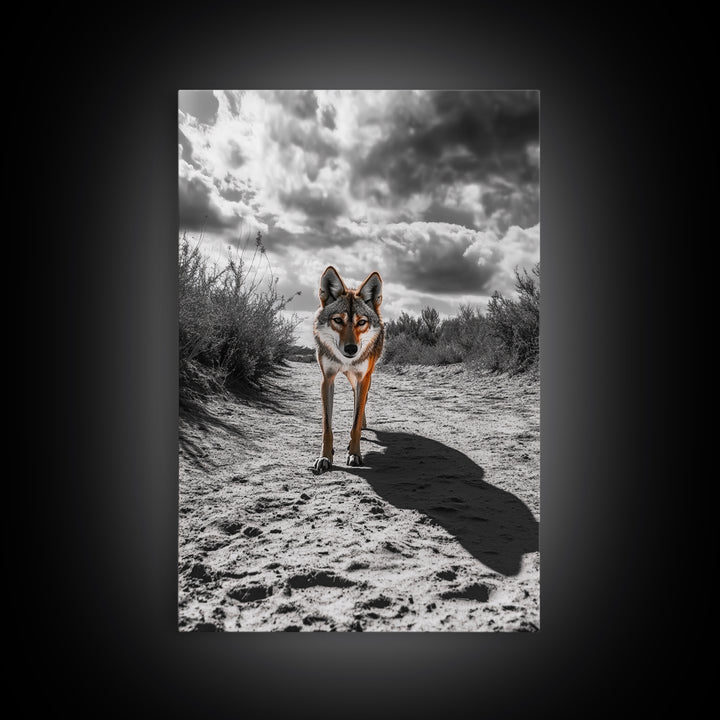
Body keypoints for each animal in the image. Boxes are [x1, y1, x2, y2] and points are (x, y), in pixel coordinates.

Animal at [312, 266, 385, 473]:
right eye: (338, 320)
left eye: (361, 322)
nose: (351, 349)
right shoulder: (327, 379)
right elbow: (327, 427)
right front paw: (325, 457)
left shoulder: (363, 378)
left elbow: (355, 422)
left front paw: (354, 453)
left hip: (365, 378)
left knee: (361, 402)